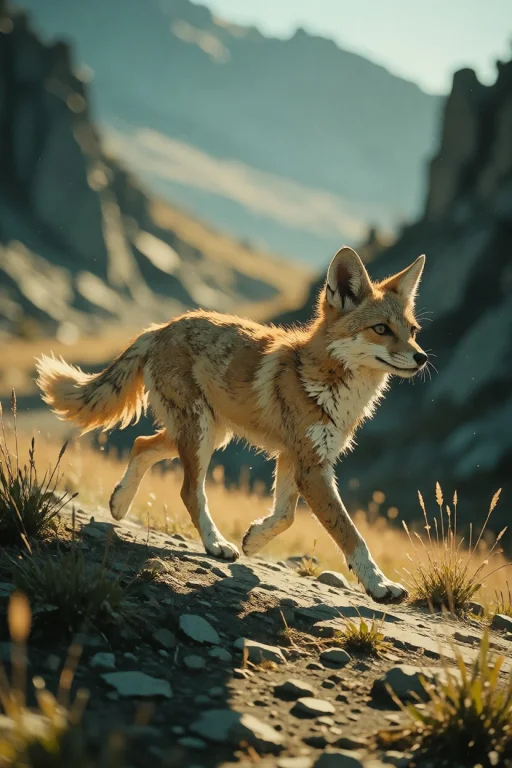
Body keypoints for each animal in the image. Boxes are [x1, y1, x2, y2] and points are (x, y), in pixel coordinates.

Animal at [36, 246, 428, 604]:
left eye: (412, 331)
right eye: (381, 329)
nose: (422, 357)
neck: (329, 386)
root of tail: (162, 326)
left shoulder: (297, 458)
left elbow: (285, 516)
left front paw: (254, 539)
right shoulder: (311, 467)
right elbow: (350, 534)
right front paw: (380, 586)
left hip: (206, 434)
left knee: (142, 444)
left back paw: (119, 503)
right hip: (201, 434)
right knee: (189, 491)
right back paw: (214, 543)